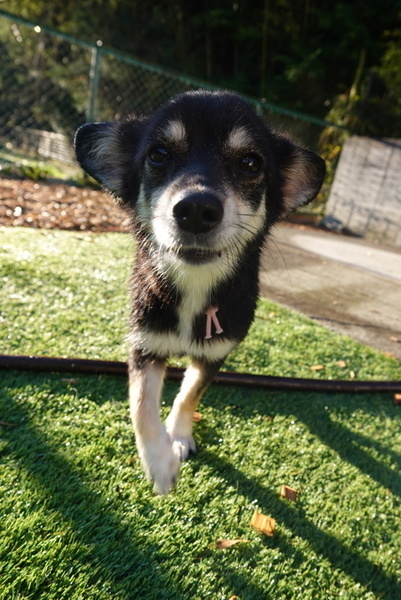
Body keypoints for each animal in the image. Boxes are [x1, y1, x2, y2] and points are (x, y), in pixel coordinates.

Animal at [75, 90, 325, 494]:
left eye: (251, 163)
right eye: (159, 153)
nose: (195, 208)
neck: (194, 285)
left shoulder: (215, 353)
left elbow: (190, 393)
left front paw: (177, 437)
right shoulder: (144, 344)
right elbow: (141, 404)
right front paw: (160, 462)